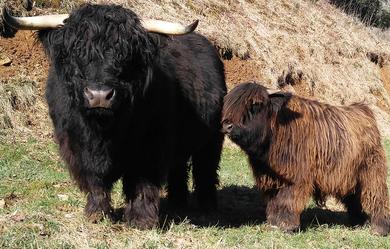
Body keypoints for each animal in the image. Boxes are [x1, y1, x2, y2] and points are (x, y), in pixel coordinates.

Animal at [3, 4, 227, 230]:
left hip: (212, 138)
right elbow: (94, 181)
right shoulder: (75, 145)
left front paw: (141, 220)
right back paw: (177, 203)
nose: (99, 95)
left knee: (205, 169)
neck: (103, 129)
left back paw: (206, 208)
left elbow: (142, 182)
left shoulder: (151, 146)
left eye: (126, 56)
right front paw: (96, 213)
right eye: (77, 51)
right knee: (178, 169)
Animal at [222, 82, 390, 235]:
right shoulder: (271, 181)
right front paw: (274, 223)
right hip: (350, 176)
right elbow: (274, 202)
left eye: (256, 104)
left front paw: (286, 225)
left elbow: (287, 200)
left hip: (371, 172)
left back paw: (380, 228)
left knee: (377, 197)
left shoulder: (295, 178)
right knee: (354, 198)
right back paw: (358, 222)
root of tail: (363, 110)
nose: (227, 125)